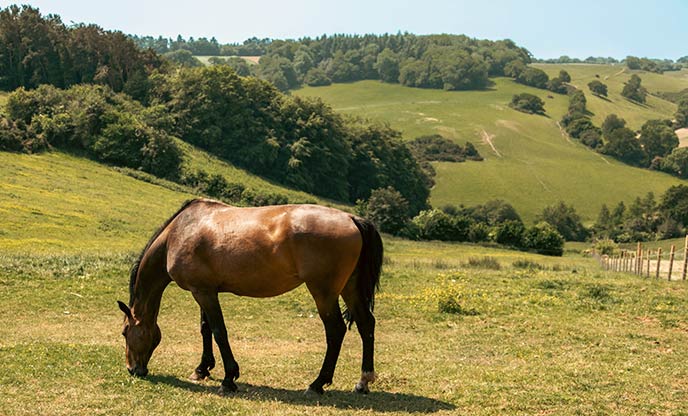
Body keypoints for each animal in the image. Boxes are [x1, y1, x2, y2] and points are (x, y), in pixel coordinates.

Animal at [114, 197, 382, 394]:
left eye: (125, 332)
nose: (133, 369)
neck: (179, 232)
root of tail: (352, 218)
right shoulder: (204, 290)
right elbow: (206, 329)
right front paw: (202, 369)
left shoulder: (203, 293)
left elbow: (219, 331)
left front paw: (228, 378)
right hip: (350, 288)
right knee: (366, 324)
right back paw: (363, 381)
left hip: (323, 292)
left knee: (335, 330)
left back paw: (317, 384)